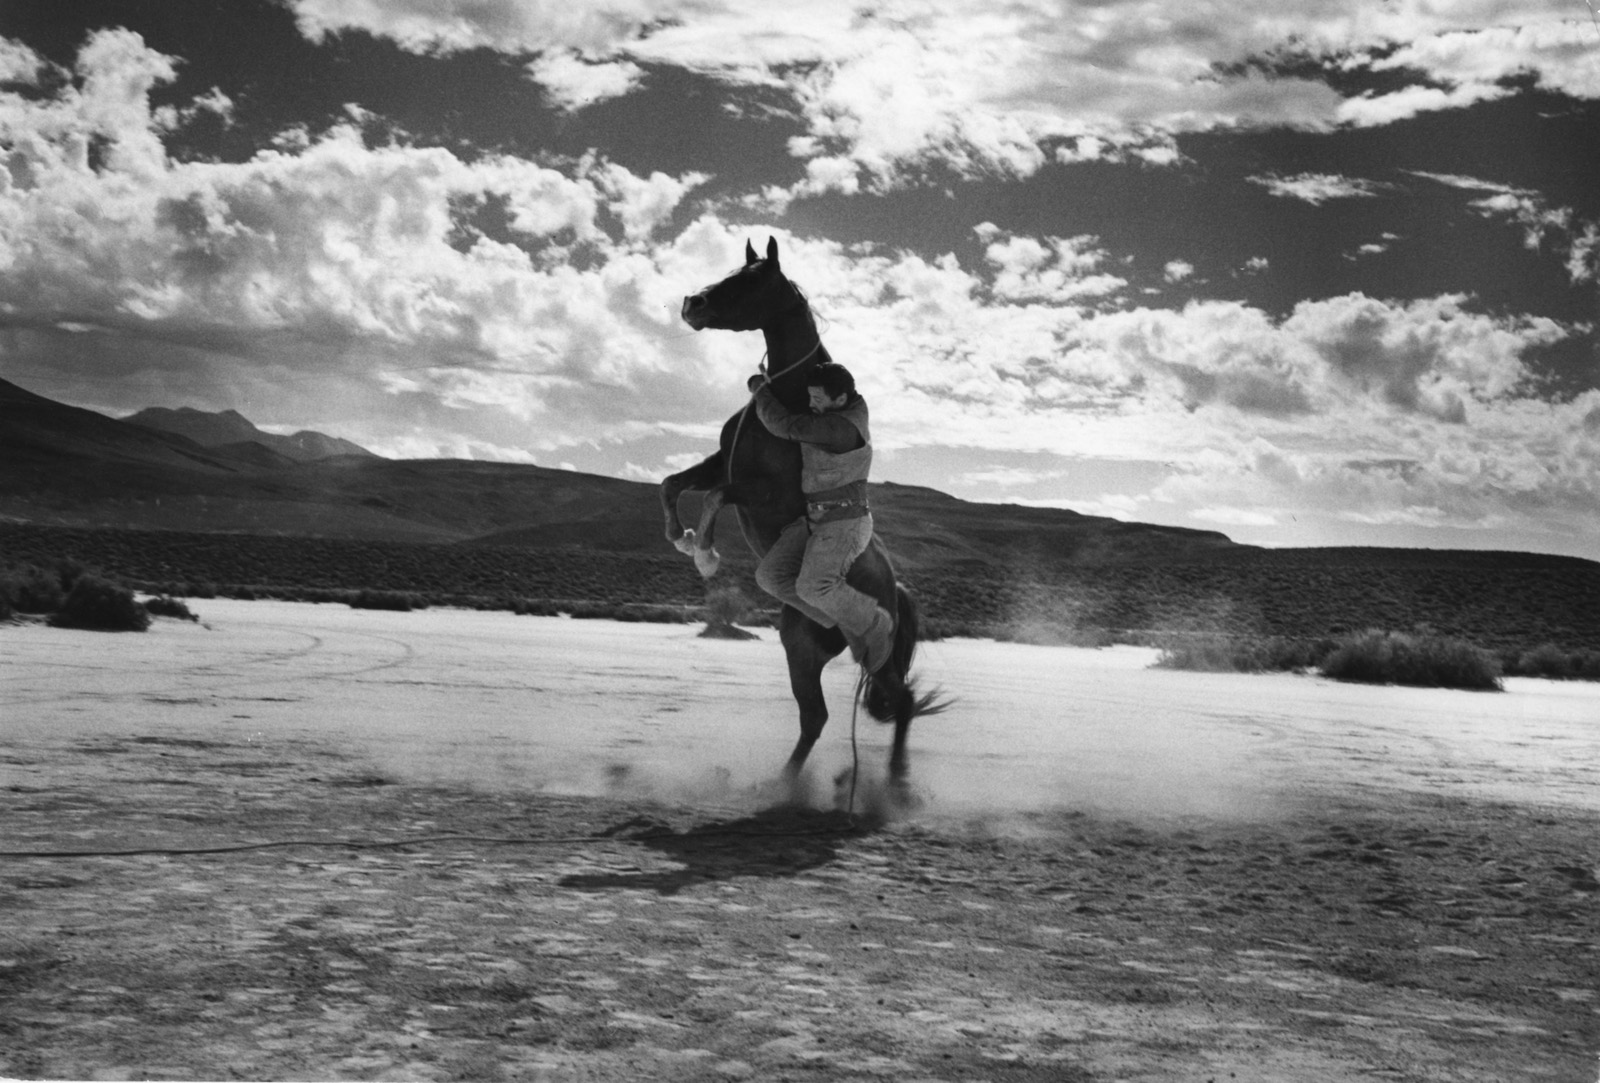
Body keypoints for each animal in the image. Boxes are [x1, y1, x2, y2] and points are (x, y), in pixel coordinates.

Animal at [659, 236, 940, 777]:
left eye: (752, 279)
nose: (692, 303)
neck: (788, 398)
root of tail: (894, 592)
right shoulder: (721, 464)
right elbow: (672, 484)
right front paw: (679, 538)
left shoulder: (765, 491)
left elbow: (714, 496)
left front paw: (706, 554)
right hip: (802, 648)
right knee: (817, 717)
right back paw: (786, 783)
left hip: (870, 656)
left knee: (902, 700)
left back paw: (893, 780)